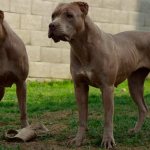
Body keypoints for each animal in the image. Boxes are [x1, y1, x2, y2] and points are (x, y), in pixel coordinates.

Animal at [48, 1, 150, 149]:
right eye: (53, 16)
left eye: (69, 15)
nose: (51, 25)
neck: (83, 47)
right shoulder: (80, 87)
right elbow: (82, 118)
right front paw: (78, 140)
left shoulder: (107, 87)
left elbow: (108, 118)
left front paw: (108, 140)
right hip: (134, 84)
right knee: (143, 108)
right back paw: (135, 131)